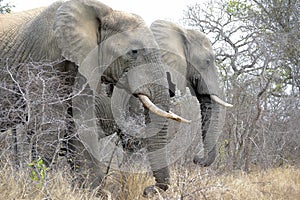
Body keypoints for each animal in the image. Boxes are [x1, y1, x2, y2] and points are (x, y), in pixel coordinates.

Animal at [0, 0, 190, 195]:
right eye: (134, 52)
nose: (148, 190)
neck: (105, 12)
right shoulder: (44, 59)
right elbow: (49, 127)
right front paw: (36, 188)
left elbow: (80, 125)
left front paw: (91, 192)